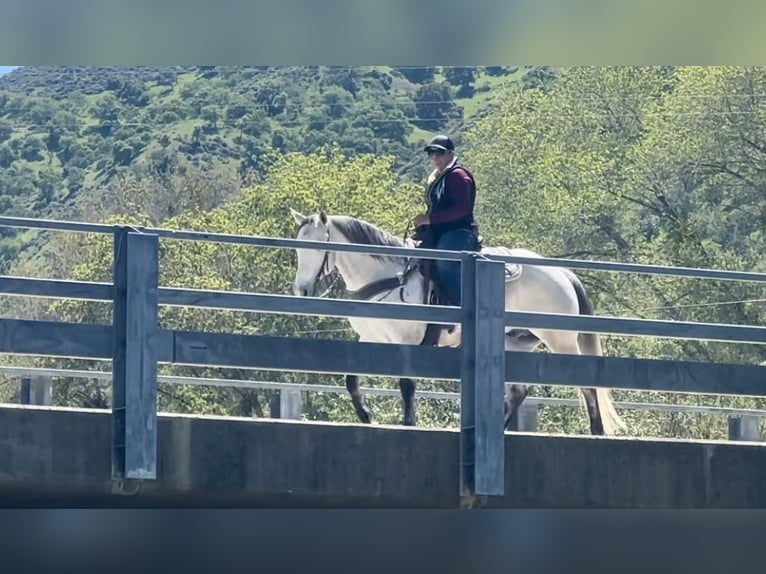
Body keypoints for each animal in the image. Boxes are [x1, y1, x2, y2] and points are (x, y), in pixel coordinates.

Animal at [292, 209, 628, 438]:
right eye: (296, 247)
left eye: (316, 246)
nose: (302, 290)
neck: (391, 276)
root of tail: (564, 274)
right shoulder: (372, 340)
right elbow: (351, 379)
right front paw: (366, 415)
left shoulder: (409, 342)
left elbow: (407, 384)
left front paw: (408, 423)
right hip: (515, 342)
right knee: (518, 390)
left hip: (560, 338)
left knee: (585, 383)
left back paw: (597, 431)